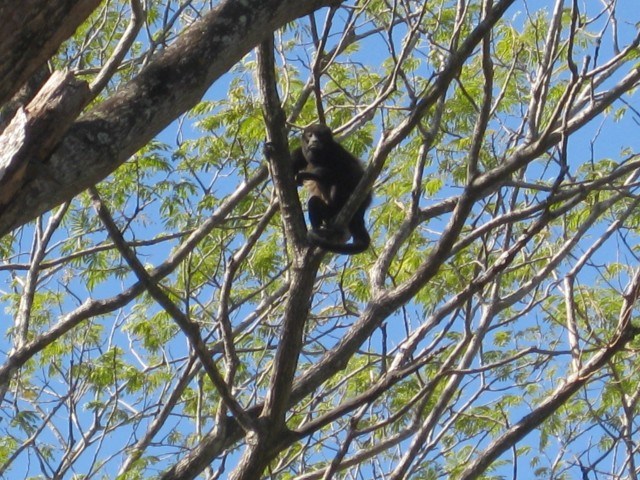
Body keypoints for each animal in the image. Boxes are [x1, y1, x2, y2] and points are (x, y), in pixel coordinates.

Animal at [290, 124, 370, 255]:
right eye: (310, 135)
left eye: (320, 135)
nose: (314, 141)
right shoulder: (301, 153)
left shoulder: (337, 152)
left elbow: (349, 174)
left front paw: (308, 175)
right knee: (314, 203)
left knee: (339, 182)